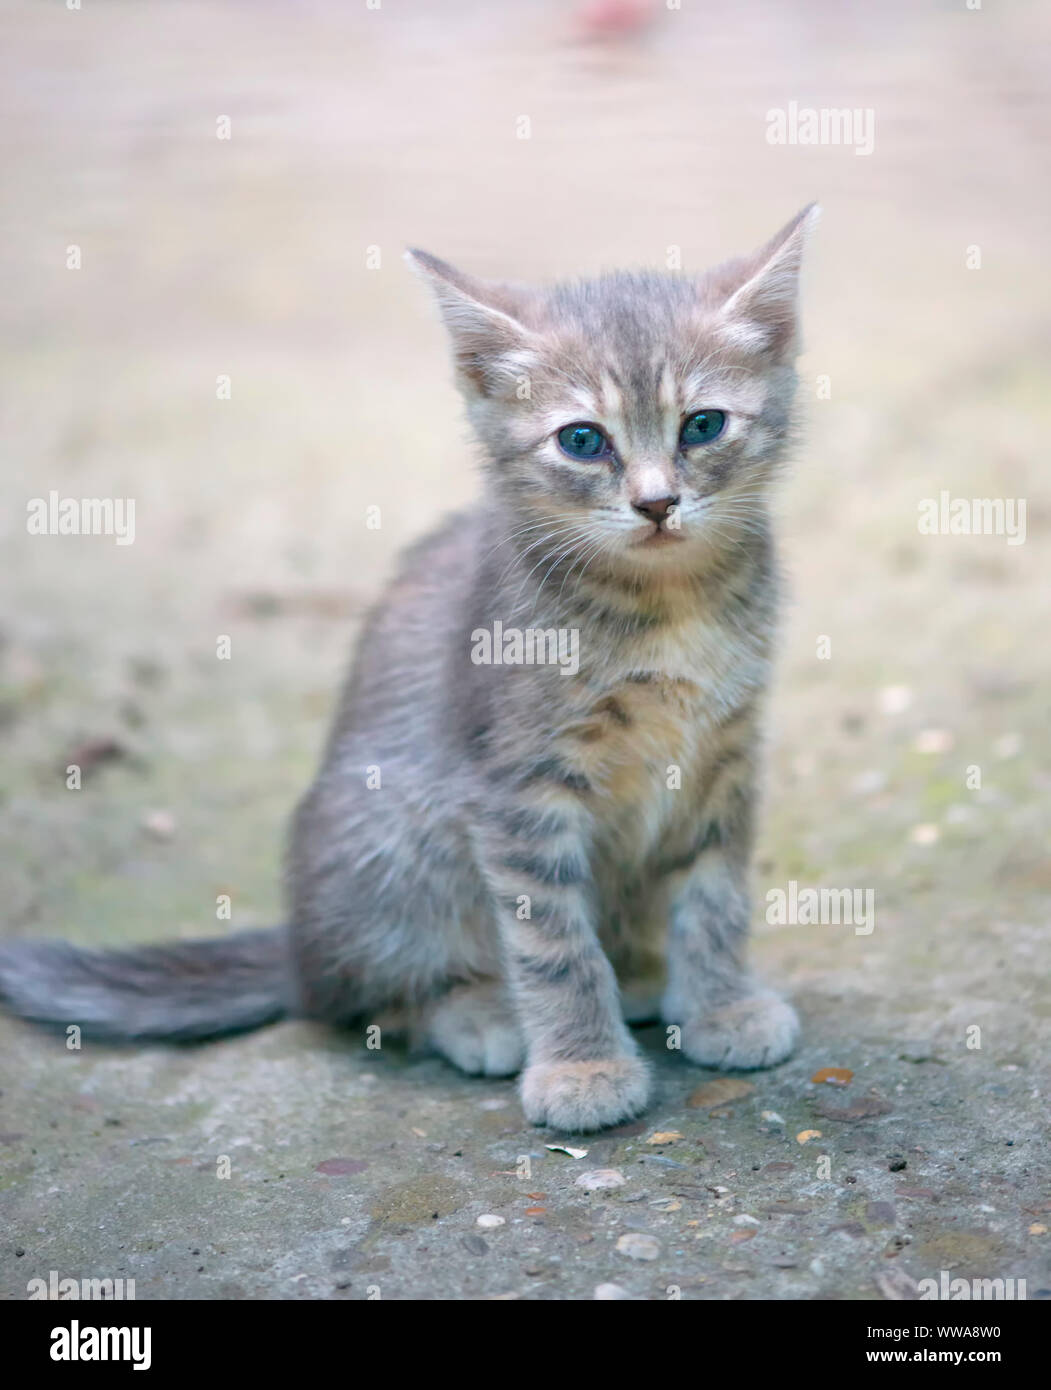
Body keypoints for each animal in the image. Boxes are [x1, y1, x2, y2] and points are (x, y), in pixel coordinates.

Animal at [0, 202, 823, 1128]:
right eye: (582, 440)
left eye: (702, 425)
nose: (655, 503)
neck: (666, 605)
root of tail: (298, 948)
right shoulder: (514, 789)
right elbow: (553, 942)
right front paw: (581, 1066)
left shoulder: (722, 756)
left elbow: (714, 897)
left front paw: (721, 1005)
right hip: (395, 832)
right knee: (361, 1002)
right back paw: (477, 1014)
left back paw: (644, 978)